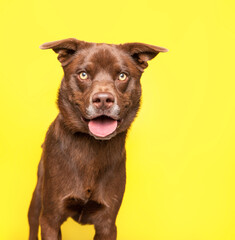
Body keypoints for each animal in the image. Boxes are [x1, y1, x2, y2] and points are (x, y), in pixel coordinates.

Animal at [28, 38, 167, 240]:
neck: (91, 145)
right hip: (38, 198)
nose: (103, 100)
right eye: (83, 74)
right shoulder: (50, 219)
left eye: (122, 76)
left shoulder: (107, 223)